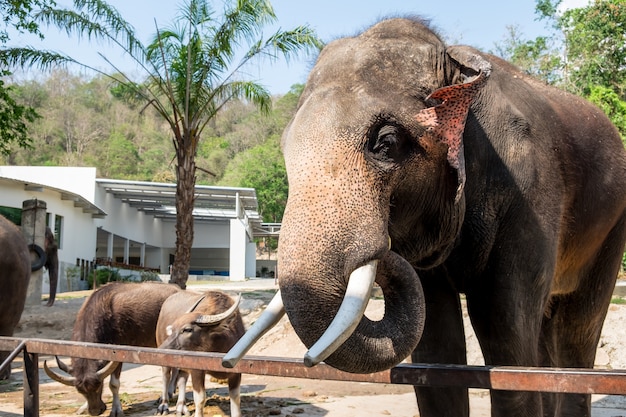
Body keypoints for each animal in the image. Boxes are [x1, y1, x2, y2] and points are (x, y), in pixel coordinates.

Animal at [43, 282, 180, 414]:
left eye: (99, 386)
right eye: (80, 391)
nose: (95, 411)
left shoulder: (118, 355)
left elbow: (114, 384)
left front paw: (116, 409)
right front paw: (83, 407)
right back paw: (170, 392)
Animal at [223, 17, 624, 416]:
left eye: (385, 143)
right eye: (284, 150)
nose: (382, 249)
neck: (453, 63)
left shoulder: (529, 197)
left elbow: (503, 330)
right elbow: (436, 344)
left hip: (612, 227)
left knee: (576, 334)